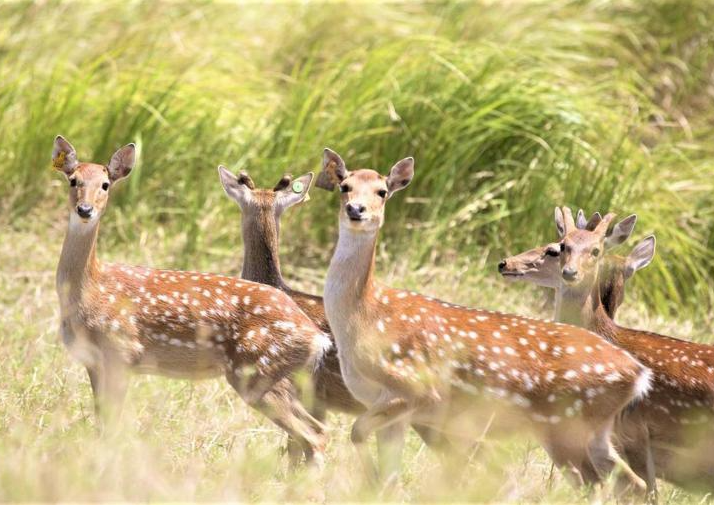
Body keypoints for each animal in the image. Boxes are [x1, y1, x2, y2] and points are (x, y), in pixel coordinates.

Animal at [314, 147, 648, 492]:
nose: (356, 209)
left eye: (382, 191)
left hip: (566, 425)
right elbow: (389, 476)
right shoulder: (388, 408)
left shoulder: (416, 389)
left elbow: (356, 432)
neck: (365, 317)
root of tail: (639, 374)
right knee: (632, 481)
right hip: (596, 432)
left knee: (595, 482)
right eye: (345, 186)